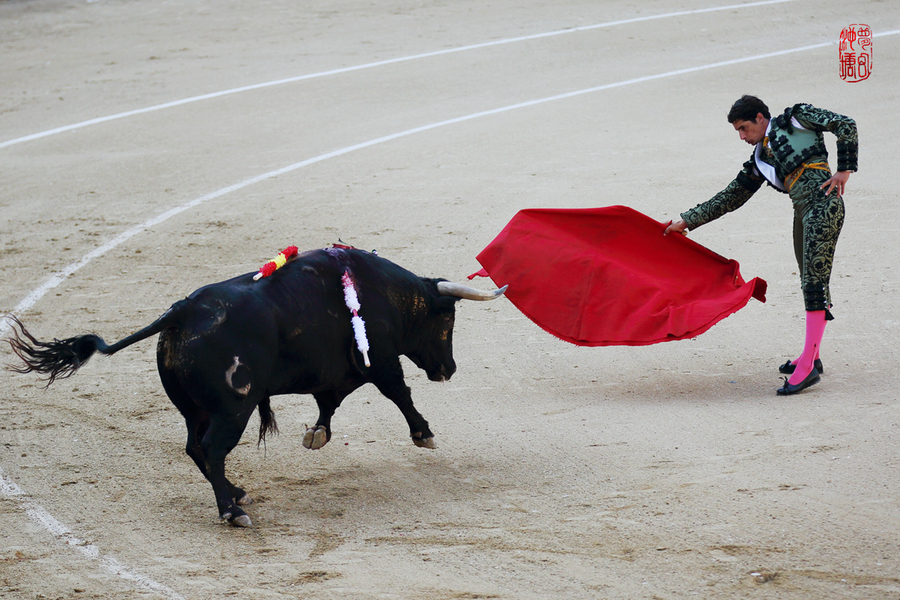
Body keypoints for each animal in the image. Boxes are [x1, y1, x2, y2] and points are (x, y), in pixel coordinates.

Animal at [5, 246, 506, 528]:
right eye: (448, 318)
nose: (449, 368)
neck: (381, 291)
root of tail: (181, 313)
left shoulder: (336, 372)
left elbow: (329, 402)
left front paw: (317, 435)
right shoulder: (381, 362)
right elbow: (400, 393)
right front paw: (425, 434)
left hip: (195, 409)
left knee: (194, 447)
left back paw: (237, 493)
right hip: (234, 409)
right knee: (211, 448)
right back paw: (232, 511)